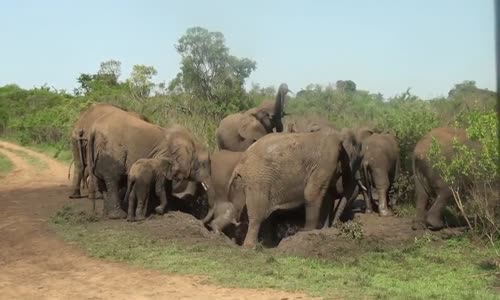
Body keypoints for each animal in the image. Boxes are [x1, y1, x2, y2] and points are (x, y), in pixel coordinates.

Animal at [225, 130, 358, 250]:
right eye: (346, 169)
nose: (334, 226)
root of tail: (240, 164)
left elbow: (325, 196)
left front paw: (320, 231)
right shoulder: (325, 163)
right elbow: (312, 194)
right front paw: (307, 232)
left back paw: (265, 244)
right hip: (258, 180)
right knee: (258, 214)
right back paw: (251, 247)